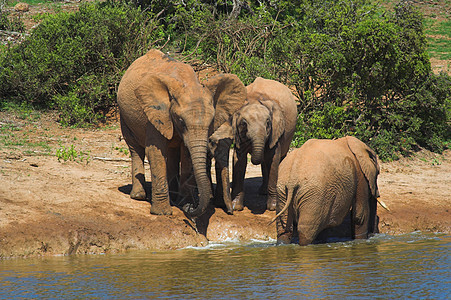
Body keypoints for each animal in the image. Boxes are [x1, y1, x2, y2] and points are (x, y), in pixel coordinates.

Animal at [116, 49, 247, 218]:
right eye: (181, 120)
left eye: (212, 121)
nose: (190, 208)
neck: (188, 83)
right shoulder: (156, 114)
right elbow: (155, 151)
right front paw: (162, 213)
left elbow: (187, 154)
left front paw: (184, 203)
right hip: (124, 114)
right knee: (135, 148)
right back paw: (139, 196)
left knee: (171, 153)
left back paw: (172, 197)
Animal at [230, 77, 300, 211]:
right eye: (244, 123)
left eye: (268, 122)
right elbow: (239, 161)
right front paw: (235, 207)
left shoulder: (275, 131)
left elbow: (273, 159)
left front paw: (272, 207)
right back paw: (263, 192)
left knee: (280, 157)